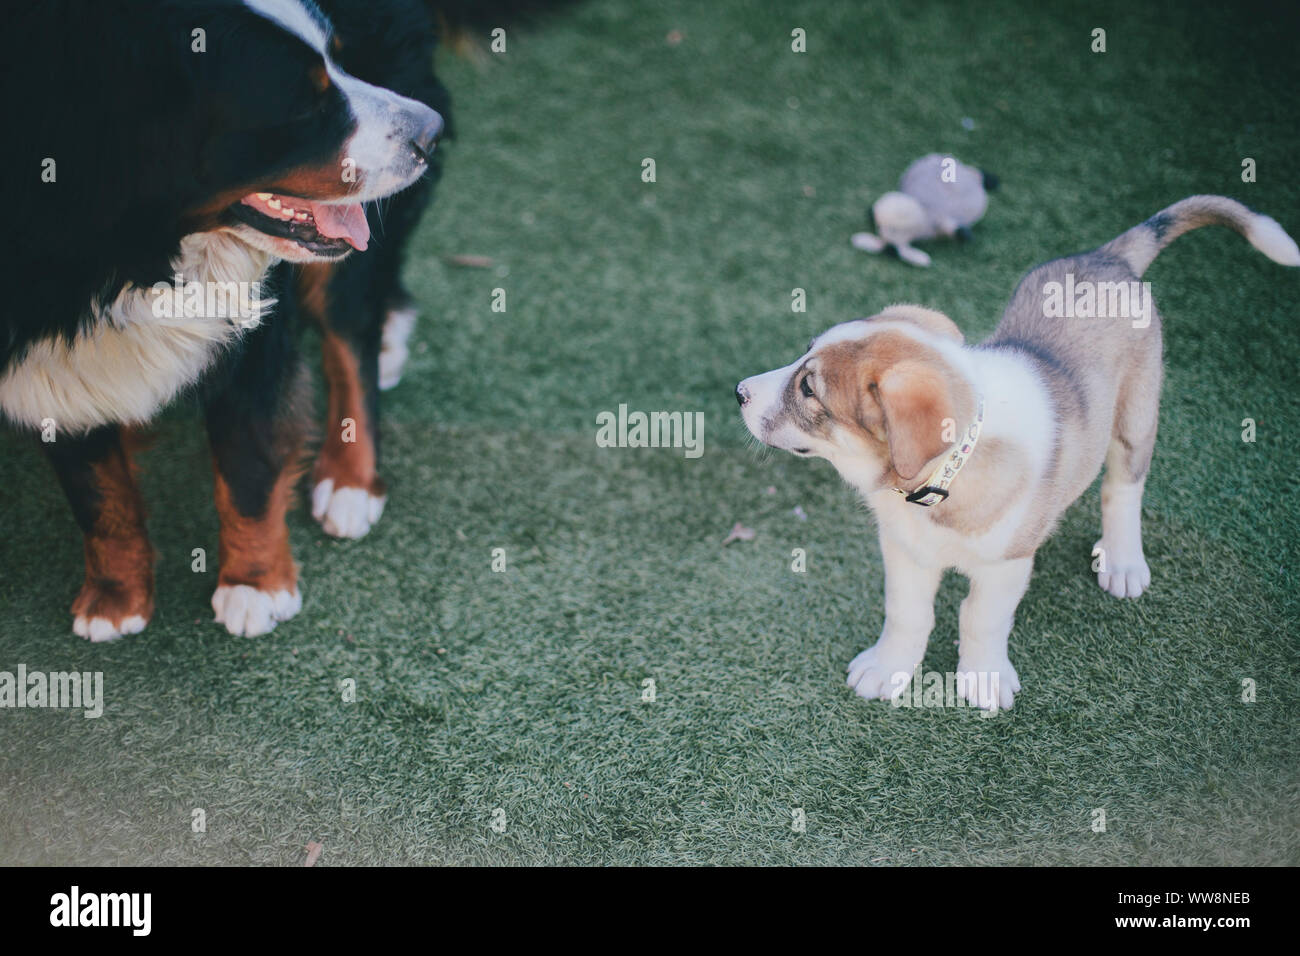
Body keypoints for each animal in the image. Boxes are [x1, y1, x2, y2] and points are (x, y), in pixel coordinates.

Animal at [2, 3, 452, 642]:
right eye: (304, 106)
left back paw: (350, 481)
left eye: (335, 66)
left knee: (351, 336)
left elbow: (247, 470)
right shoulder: (36, 364)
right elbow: (97, 493)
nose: (431, 132)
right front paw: (116, 597)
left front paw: (255, 585)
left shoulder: (255, 335)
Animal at [743, 195, 1300, 707]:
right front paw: (888, 668)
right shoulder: (904, 550)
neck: (942, 481)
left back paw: (1122, 560)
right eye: (803, 355)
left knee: (1123, 488)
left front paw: (983, 678)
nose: (739, 392)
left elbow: (980, 618)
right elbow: (906, 612)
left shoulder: (1007, 563)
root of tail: (1109, 256)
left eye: (809, 390)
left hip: (1136, 415)